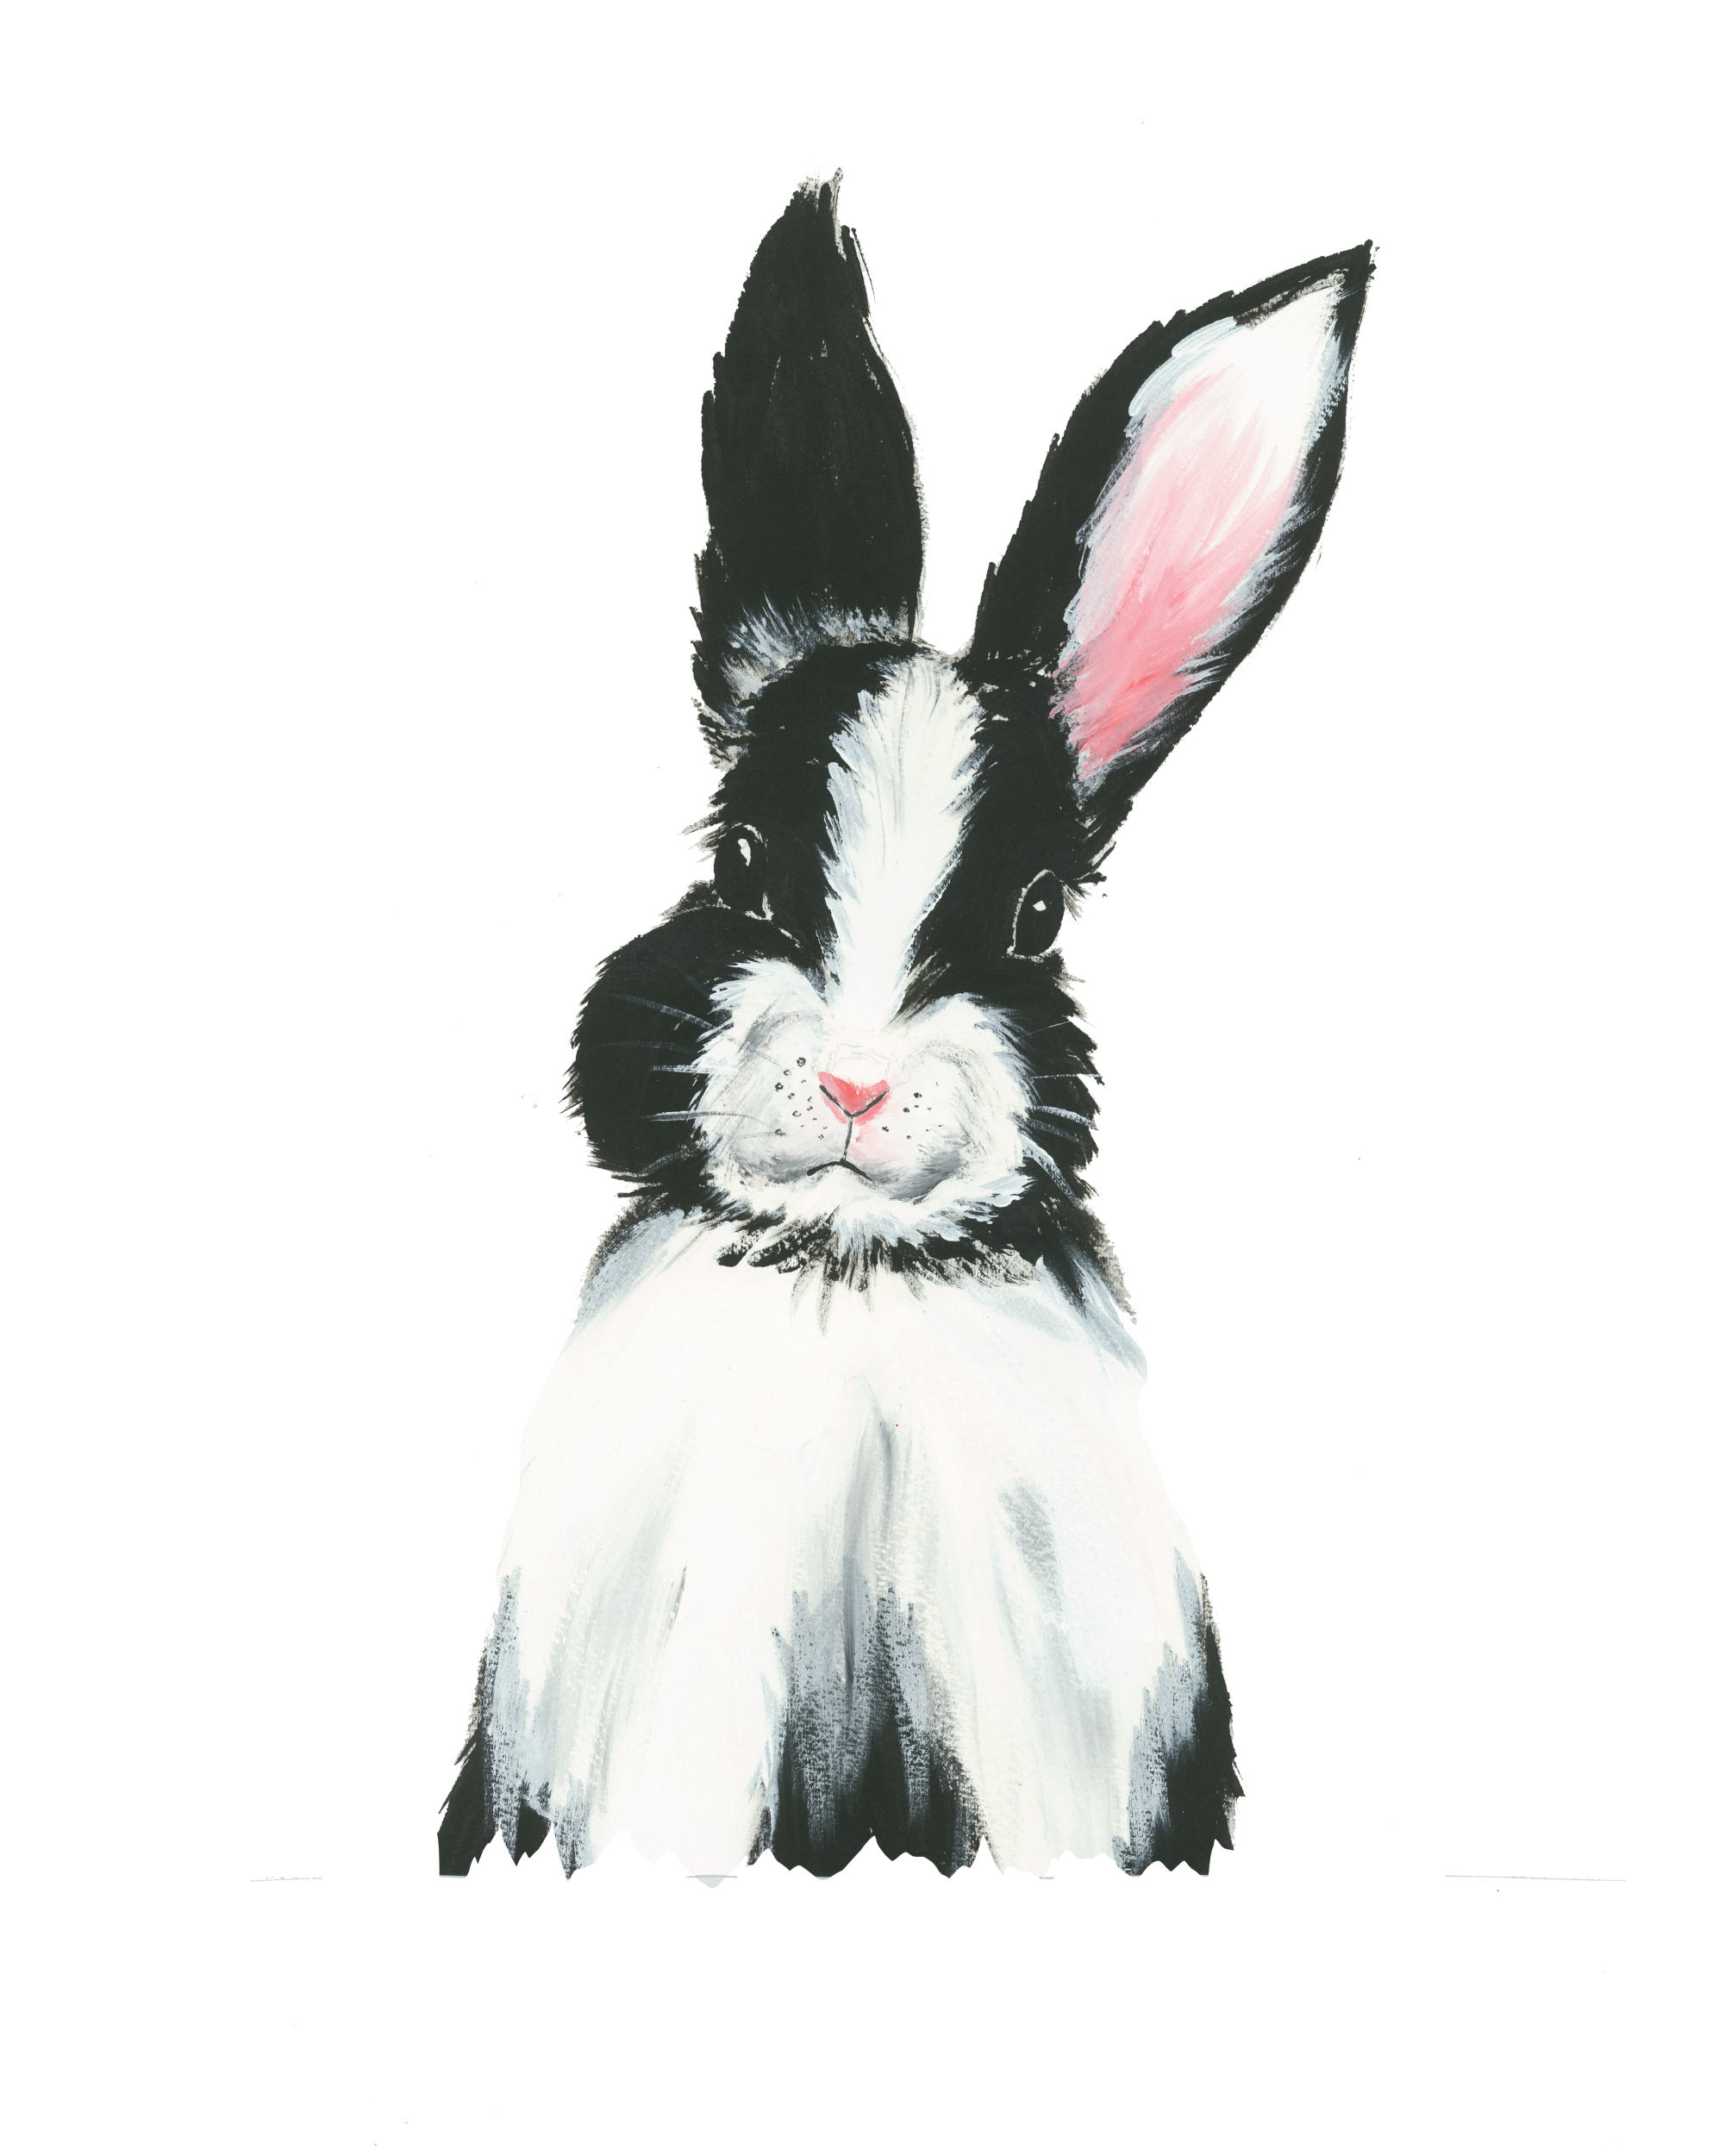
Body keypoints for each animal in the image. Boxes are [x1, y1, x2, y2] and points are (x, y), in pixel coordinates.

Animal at [436, 163, 1377, 1881]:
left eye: (1033, 916)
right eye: (733, 859)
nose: (858, 1085)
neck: (849, 1276)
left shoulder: (1045, 1679)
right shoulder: (685, 1654)